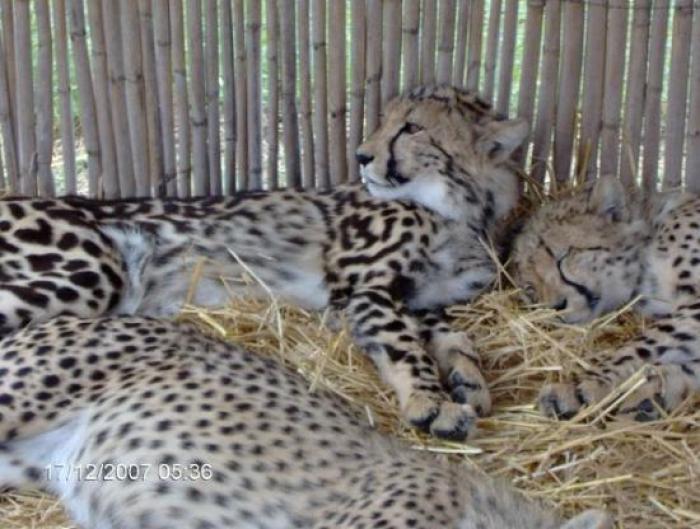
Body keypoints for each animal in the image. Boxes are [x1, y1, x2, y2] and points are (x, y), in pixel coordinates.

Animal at [0, 87, 528, 442]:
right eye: (385, 122)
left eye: (413, 128)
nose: (362, 156)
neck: (459, 211)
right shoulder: (361, 291)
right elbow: (404, 344)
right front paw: (431, 401)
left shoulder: (418, 297)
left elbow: (453, 336)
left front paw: (467, 379)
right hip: (93, 270)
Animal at [512, 177, 700, 420]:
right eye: (530, 288)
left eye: (562, 257)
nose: (557, 307)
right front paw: (656, 393)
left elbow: (641, 345)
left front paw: (579, 386)